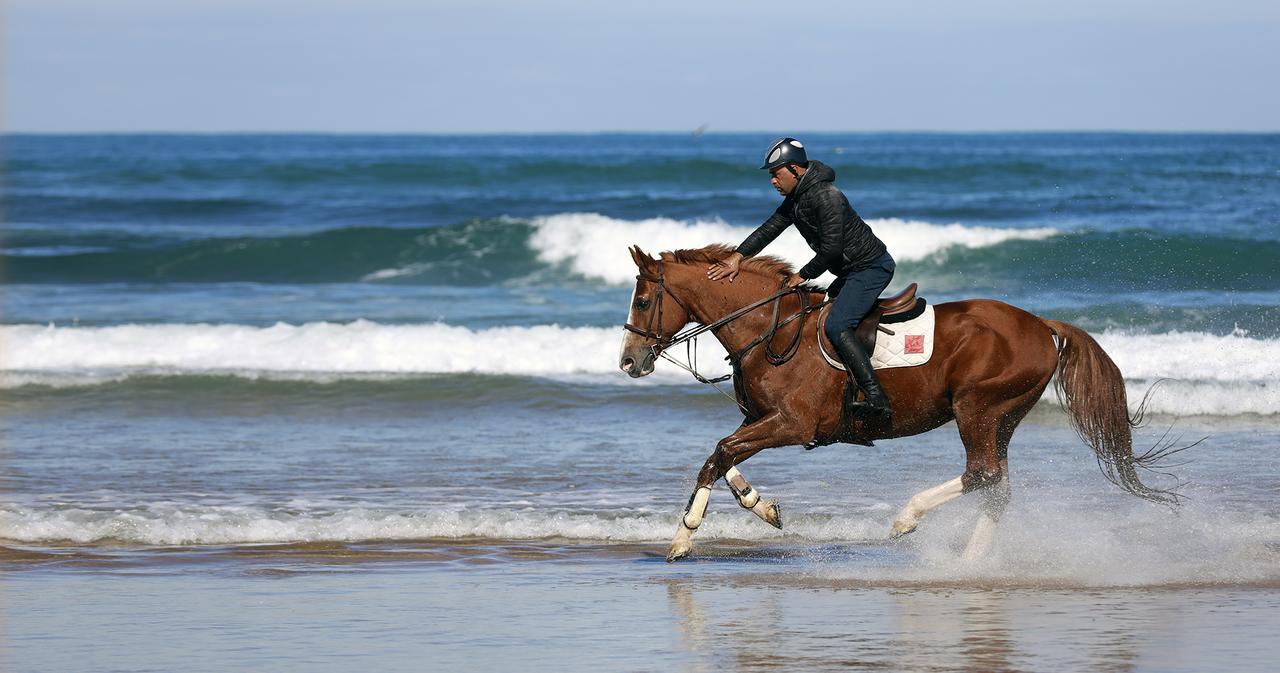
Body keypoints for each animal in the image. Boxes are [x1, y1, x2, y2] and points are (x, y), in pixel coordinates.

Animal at [616, 245, 1177, 562]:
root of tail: (1042, 325)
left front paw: (683, 539)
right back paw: (972, 560)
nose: (629, 361)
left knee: (983, 474)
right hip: (1003, 416)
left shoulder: (792, 424)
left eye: (643, 301)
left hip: (980, 408)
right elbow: (724, 456)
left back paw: (909, 520)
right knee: (997, 486)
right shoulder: (761, 419)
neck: (768, 330)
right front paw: (764, 507)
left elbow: (718, 454)